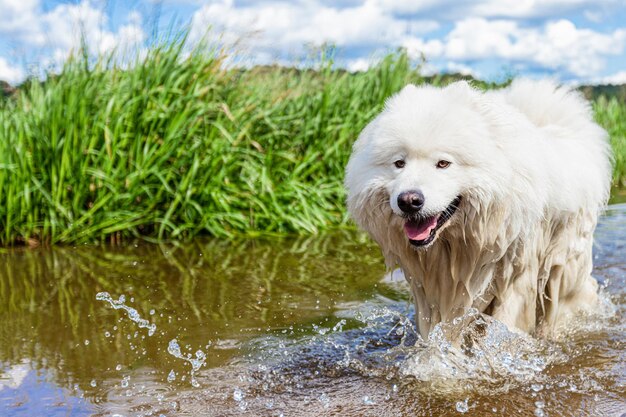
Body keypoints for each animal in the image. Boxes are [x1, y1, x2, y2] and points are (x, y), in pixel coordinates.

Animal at [342, 79, 608, 338]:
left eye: (443, 163)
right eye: (399, 163)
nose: (408, 201)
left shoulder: (516, 276)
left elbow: (508, 327)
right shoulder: (429, 290)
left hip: (562, 271)